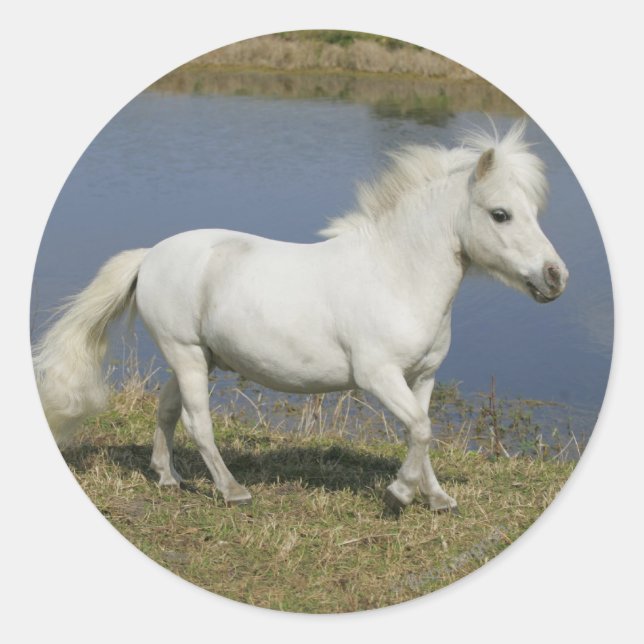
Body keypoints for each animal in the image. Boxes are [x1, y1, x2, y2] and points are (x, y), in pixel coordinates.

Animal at [32, 120, 568, 514]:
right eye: (500, 214)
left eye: (533, 211)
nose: (555, 277)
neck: (396, 273)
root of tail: (149, 257)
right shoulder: (378, 376)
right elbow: (419, 429)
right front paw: (399, 494)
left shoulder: (422, 376)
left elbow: (423, 430)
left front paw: (436, 497)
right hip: (185, 353)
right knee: (197, 422)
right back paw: (232, 491)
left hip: (196, 356)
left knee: (166, 411)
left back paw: (168, 477)